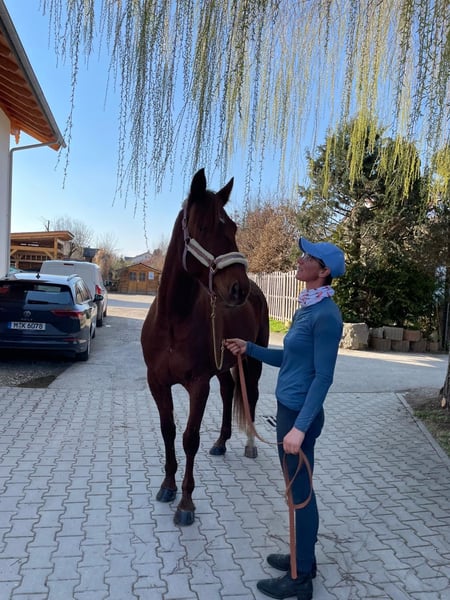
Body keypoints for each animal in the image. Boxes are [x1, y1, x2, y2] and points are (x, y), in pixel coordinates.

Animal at [141, 168, 269, 526]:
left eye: (234, 228)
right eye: (203, 227)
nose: (238, 289)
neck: (173, 320)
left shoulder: (198, 384)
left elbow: (189, 438)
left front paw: (186, 503)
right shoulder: (157, 382)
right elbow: (168, 430)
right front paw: (167, 487)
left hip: (252, 361)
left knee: (250, 395)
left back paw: (250, 444)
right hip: (225, 364)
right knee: (228, 393)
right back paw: (222, 442)